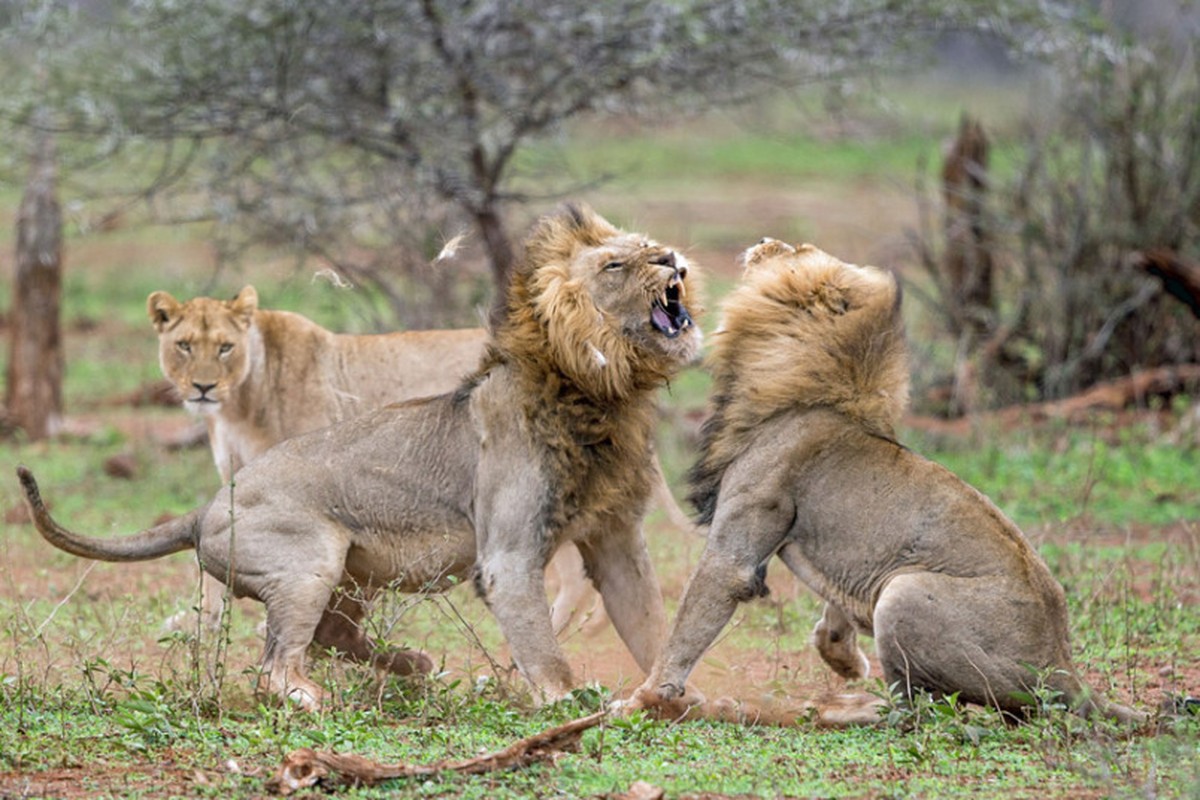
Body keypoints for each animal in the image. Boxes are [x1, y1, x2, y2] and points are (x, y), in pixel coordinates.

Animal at [21, 203, 700, 710]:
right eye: (616, 263)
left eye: (652, 246)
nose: (672, 259)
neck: (603, 394)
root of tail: (208, 505)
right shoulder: (508, 555)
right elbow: (543, 648)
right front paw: (570, 702)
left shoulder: (616, 537)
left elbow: (650, 623)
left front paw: (670, 696)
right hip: (310, 559)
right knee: (278, 663)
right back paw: (315, 696)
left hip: (348, 574)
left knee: (329, 637)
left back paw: (414, 666)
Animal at [628, 237, 1142, 724]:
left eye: (796, 250)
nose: (762, 241)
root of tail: (1066, 670)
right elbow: (834, 608)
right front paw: (841, 657)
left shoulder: (740, 540)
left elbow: (689, 624)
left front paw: (644, 699)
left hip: (904, 595)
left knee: (917, 713)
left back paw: (840, 710)